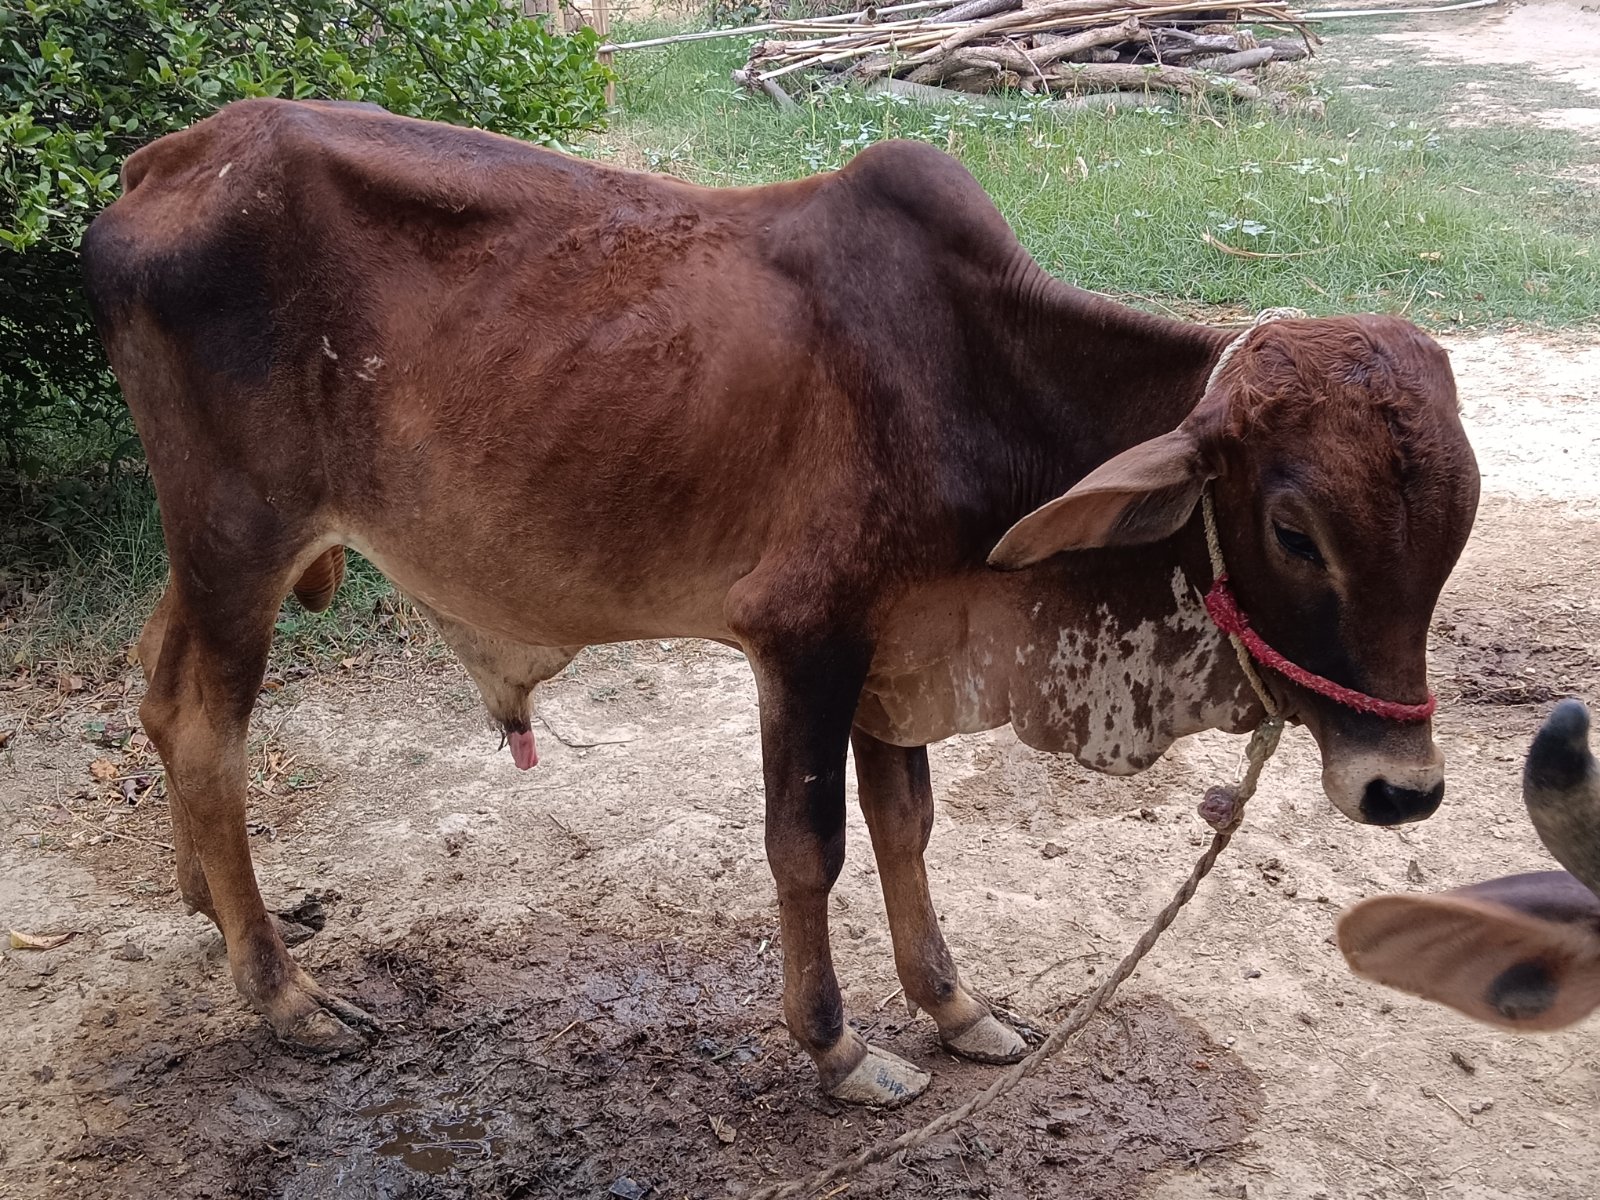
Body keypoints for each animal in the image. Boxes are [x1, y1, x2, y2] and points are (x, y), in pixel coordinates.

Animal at [81, 99, 1480, 1107]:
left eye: (1456, 528)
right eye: (1294, 531)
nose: (1400, 790)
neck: (972, 375)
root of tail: (161, 164)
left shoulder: (899, 649)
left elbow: (909, 828)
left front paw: (957, 1010)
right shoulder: (803, 641)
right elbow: (809, 847)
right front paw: (839, 1050)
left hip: (217, 552)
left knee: (156, 683)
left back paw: (220, 910)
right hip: (239, 535)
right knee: (204, 726)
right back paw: (281, 994)